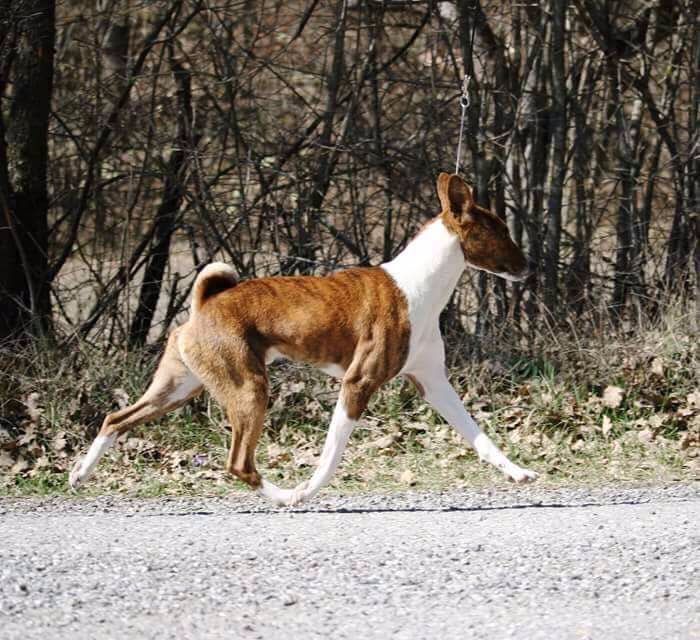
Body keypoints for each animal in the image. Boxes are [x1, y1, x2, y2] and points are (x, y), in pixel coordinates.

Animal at [69, 174, 536, 504]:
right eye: (501, 232)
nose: (527, 265)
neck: (418, 284)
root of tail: (204, 304)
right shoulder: (357, 383)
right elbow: (330, 456)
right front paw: (307, 490)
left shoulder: (433, 383)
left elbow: (479, 436)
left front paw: (517, 472)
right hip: (248, 389)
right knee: (239, 463)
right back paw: (283, 496)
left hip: (179, 388)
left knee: (115, 419)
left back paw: (79, 474)